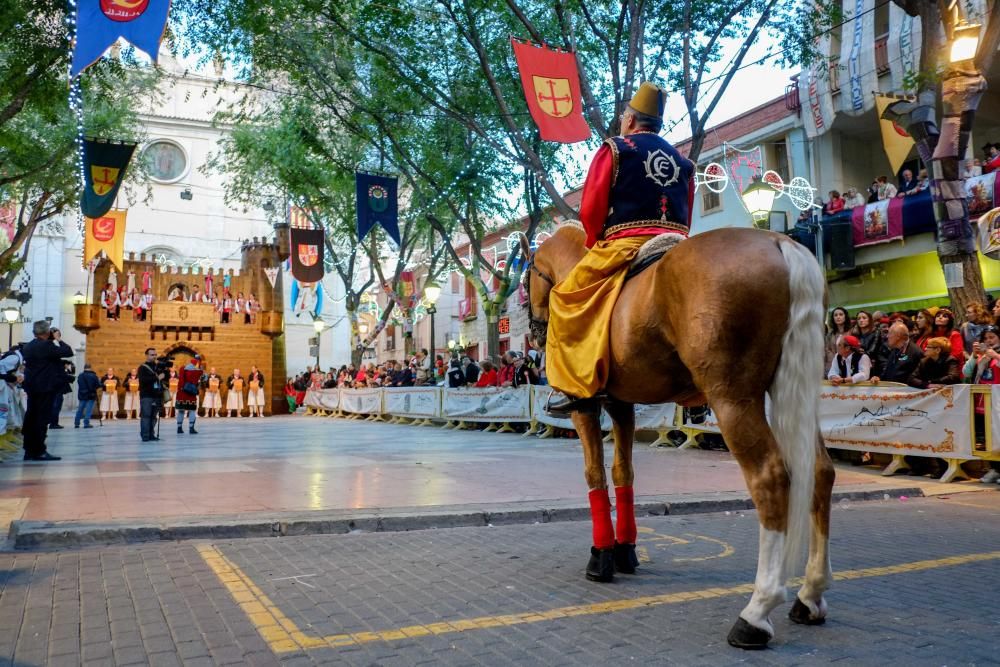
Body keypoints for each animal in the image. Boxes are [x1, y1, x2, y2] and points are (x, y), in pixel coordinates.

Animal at [520, 223, 832, 648]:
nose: (536, 332)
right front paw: (624, 551)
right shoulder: (622, 404)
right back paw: (810, 595)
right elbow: (623, 473)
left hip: (732, 398)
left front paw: (601, 556)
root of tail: (778, 241)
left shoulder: (586, 406)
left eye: (526, 279)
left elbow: (595, 474)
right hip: (792, 390)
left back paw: (756, 613)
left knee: (770, 478)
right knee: (820, 472)